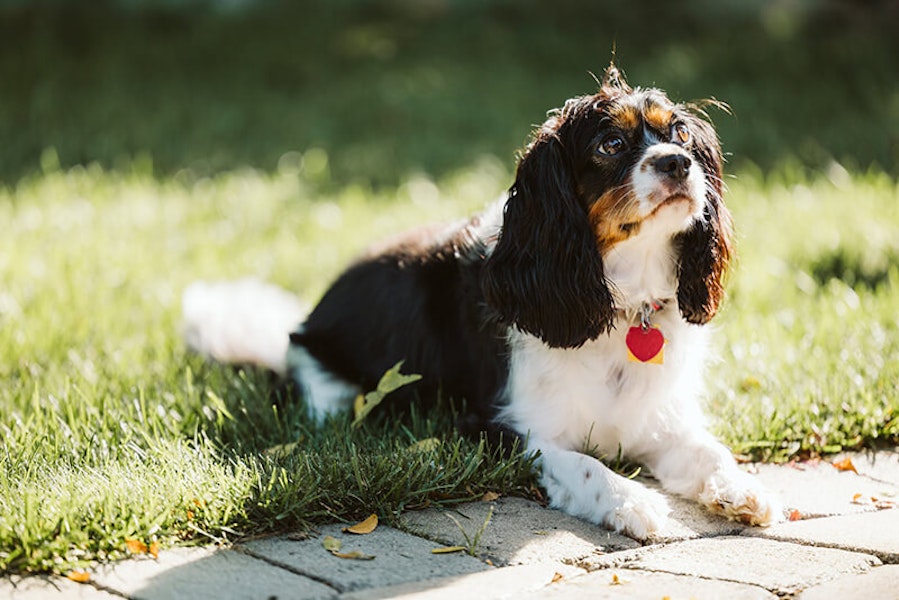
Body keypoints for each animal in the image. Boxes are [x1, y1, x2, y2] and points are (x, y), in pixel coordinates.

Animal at [186, 67, 784, 540]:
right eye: (610, 146)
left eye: (679, 133)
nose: (677, 163)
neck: (622, 298)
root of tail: (302, 322)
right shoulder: (503, 430)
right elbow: (584, 465)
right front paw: (636, 502)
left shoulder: (660, 419)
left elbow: (708, 450)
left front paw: (741, 489)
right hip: (333, 388)